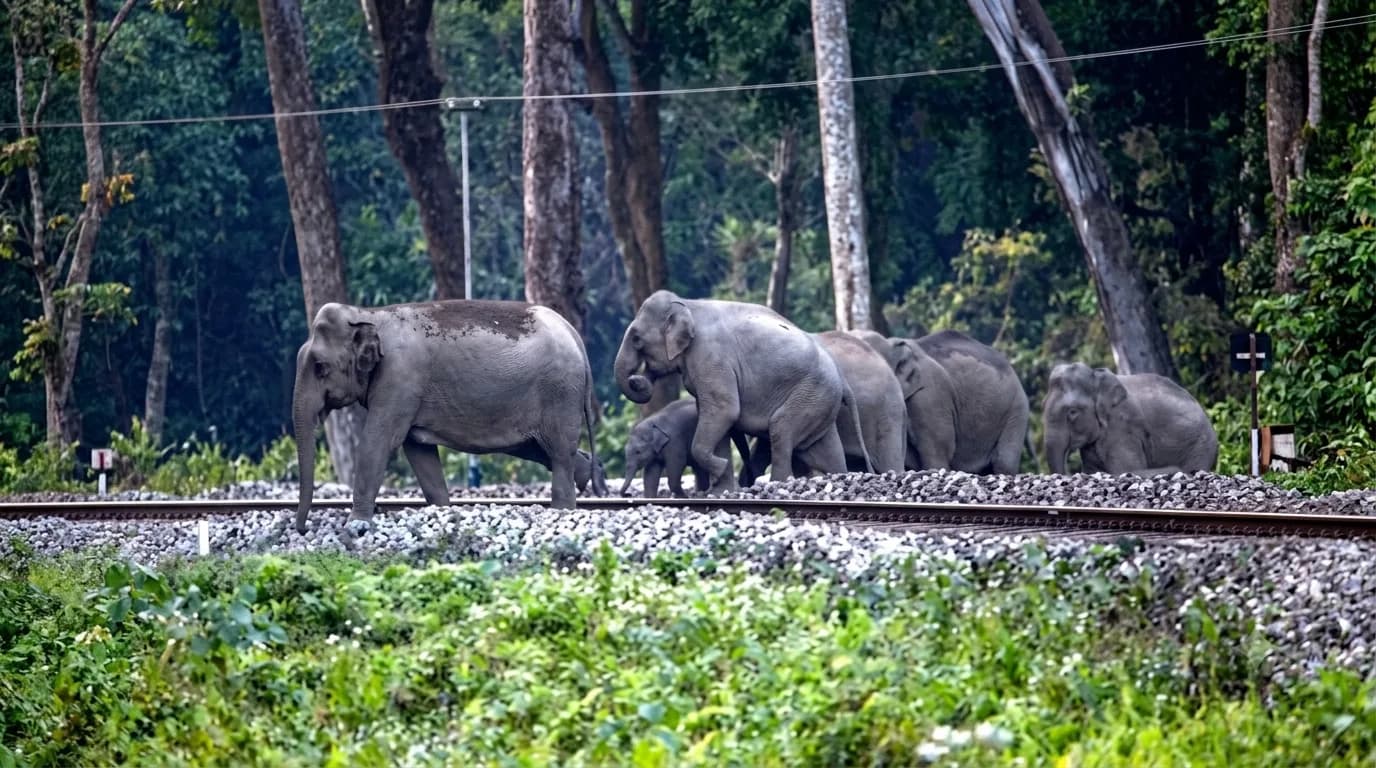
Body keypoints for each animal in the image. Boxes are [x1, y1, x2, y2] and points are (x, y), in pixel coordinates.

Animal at [292, 300, 601, 533]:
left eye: (320, 367)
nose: (303, 529)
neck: (369, 314)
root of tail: (573, 333)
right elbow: (418, 451)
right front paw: (442, 510)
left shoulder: (400, 379)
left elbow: (377, 441)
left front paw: (356, 525)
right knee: (541, 449)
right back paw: (585, 474)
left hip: (560, 392)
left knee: (558, 453)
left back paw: (563, 509)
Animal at [620, 398, 749, 498]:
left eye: (638, 452)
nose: (628, 495)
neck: (654, 422)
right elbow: (651, 472)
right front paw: (650, 498)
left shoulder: (675, 442)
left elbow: (676, 465)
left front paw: (683, 497)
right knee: (699, 468)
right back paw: (701, 492)